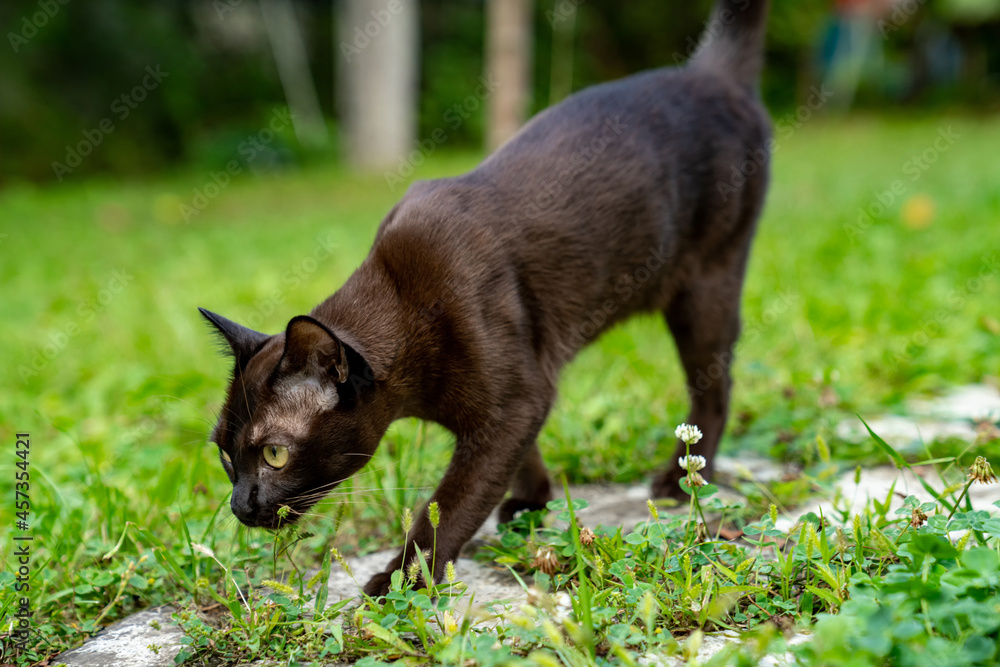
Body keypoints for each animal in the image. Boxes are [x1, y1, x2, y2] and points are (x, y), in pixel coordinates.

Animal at [199, 0, 768, 596]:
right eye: (224, 454)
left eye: (274, 455)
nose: (240, 507)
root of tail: (708, 70)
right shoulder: (514, 410)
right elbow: (515, 465)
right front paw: (532, 502)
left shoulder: (514, 405)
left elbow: (446, 508)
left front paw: (399, 582)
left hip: (705, 292)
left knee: (715, 390)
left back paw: (682, 482)